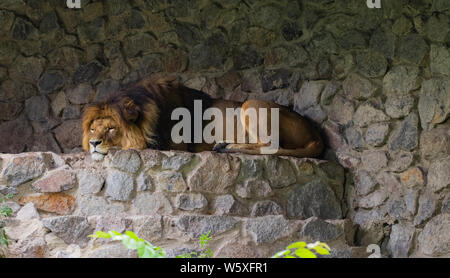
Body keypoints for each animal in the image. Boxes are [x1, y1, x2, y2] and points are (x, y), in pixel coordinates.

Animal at [82, 75, 324, 161]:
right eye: (93, 129)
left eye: (112, 128)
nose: (93, 143)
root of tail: (315, 134)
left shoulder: (176, 146)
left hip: (251, 104)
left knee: (270, 147)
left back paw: (227, 146)